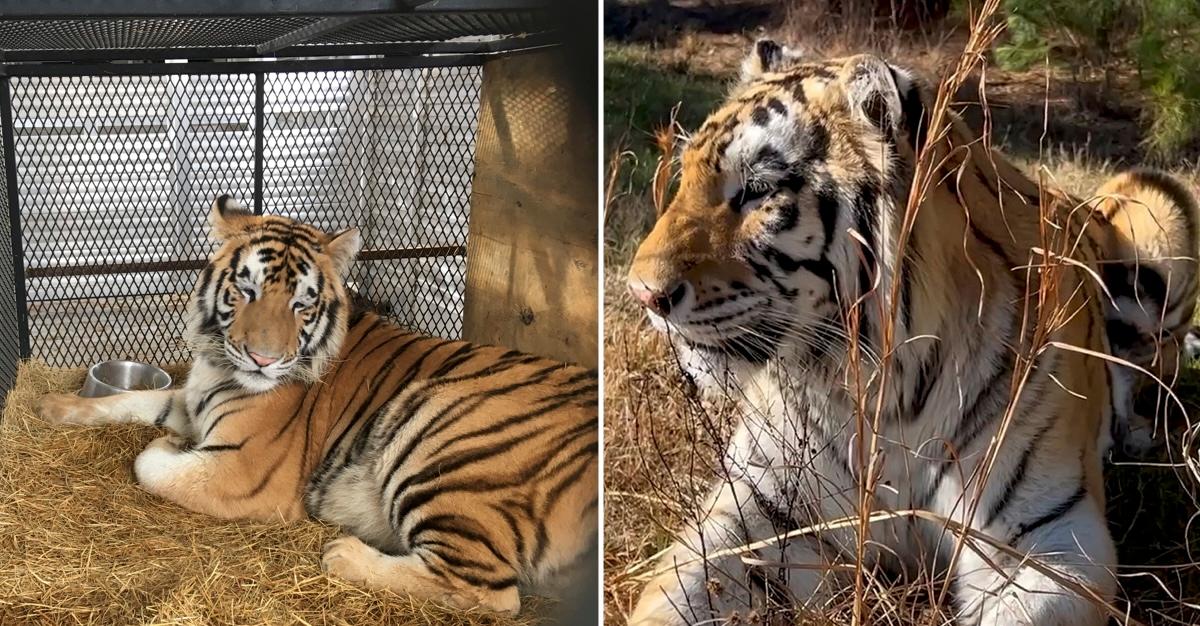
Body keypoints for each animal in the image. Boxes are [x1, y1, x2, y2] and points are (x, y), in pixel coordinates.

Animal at [37, 196, 600, 614]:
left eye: (301, 304)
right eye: (245, 290)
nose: (263, 359)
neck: (218, 364)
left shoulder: (244, 471)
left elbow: (150, 464)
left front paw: (170, 445)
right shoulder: (189, 397)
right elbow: (133, 399)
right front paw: (54, 406)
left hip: (441, 430)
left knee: (493, 593)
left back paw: (345, 555)